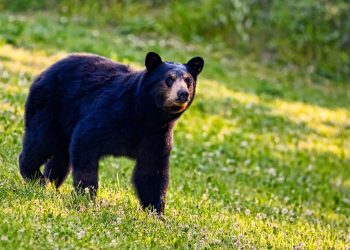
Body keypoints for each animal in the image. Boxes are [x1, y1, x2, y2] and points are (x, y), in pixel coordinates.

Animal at [19, 51, 204, 214]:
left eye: (188, 80)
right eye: (169, 79)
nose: (183, 94)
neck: (145, 115)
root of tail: (46, 70)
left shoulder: (157, 135)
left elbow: (152, 171)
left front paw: (156, 212)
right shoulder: (110, 112)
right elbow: (85, 142)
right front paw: (87, 195)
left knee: (61, 156)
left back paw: (50, 184)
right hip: (50, 106)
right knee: (41, 140)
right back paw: (35, 177)